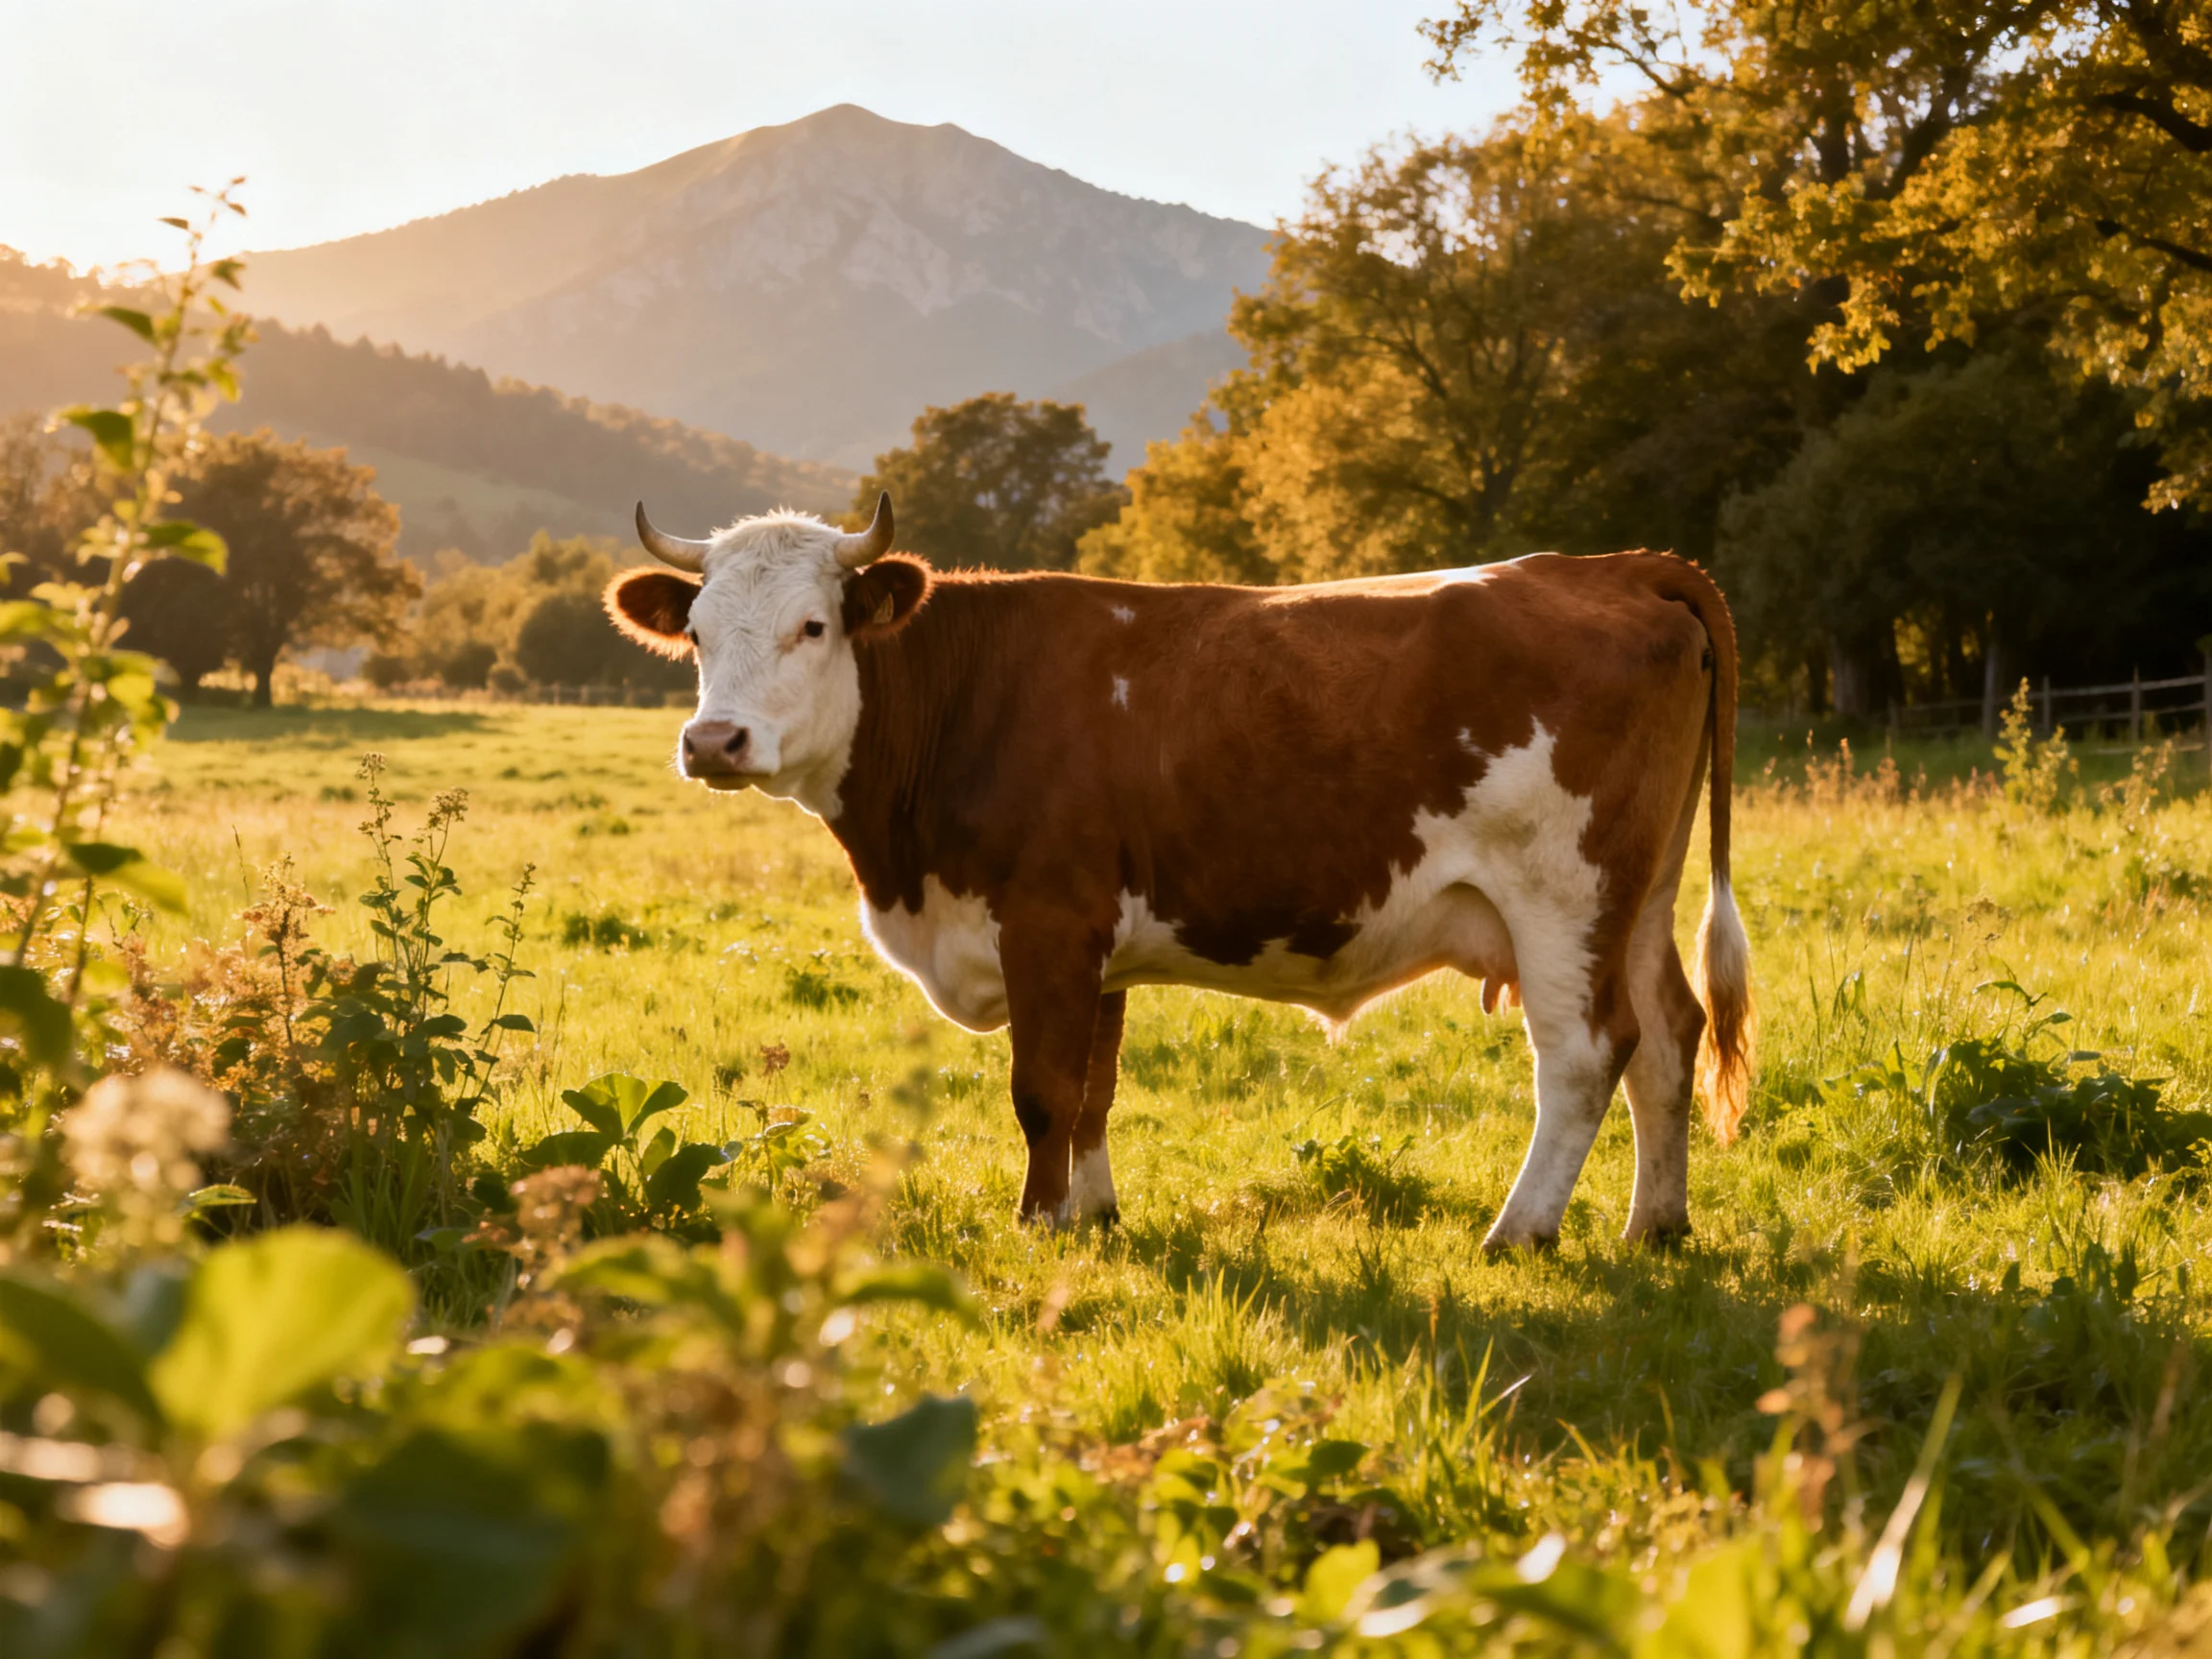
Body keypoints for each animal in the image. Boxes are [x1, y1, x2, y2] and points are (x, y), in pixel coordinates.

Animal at [607, 492, 1753, 1251]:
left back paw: (1519, 1231)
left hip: (1566, 895)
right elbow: (1095, 1092)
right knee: (1669, 1037)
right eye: (696, 633)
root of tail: (1615, 564)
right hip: (1639, 895)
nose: (713, 742)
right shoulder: (1097, 942)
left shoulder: (1047, 922)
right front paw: (1095, 1215)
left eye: (812, 626)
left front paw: (1037, 1224)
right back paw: (1656, 1227)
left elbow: (1042, 1091)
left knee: (1585, 1054)